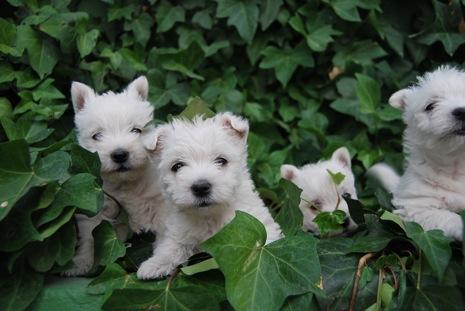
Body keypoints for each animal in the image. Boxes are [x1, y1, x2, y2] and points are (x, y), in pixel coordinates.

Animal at [64, 77, 164, 276]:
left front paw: (158, 263)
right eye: (97, 135)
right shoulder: (96, 207)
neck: (124, 184)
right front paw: (80, 262)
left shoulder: (160, 204)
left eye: (136, 130)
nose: (119, 154)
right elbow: (90, 237)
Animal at [136, 112, 282, 280]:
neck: (209, 216)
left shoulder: (260, 226)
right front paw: (153, 264)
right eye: (177, 166)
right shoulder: (179, 232)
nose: (200, 187)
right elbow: (170, 247)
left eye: (221, 160)